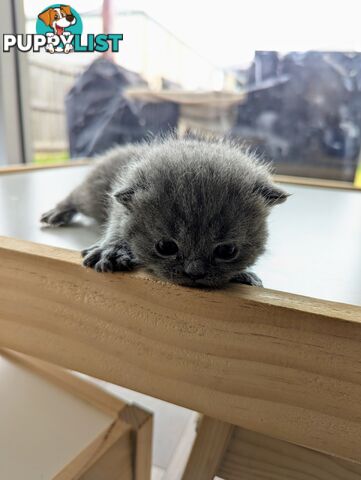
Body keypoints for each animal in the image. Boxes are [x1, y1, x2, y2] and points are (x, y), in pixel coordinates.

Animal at [40, 139, 286, 288]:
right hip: (91, 196)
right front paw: (112, 250)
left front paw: (241, 276)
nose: (194, 272)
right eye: (165, 247)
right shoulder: (119, 208)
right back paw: (58, 212)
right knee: (75, 196)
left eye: (227, 251)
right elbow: (117, 228)